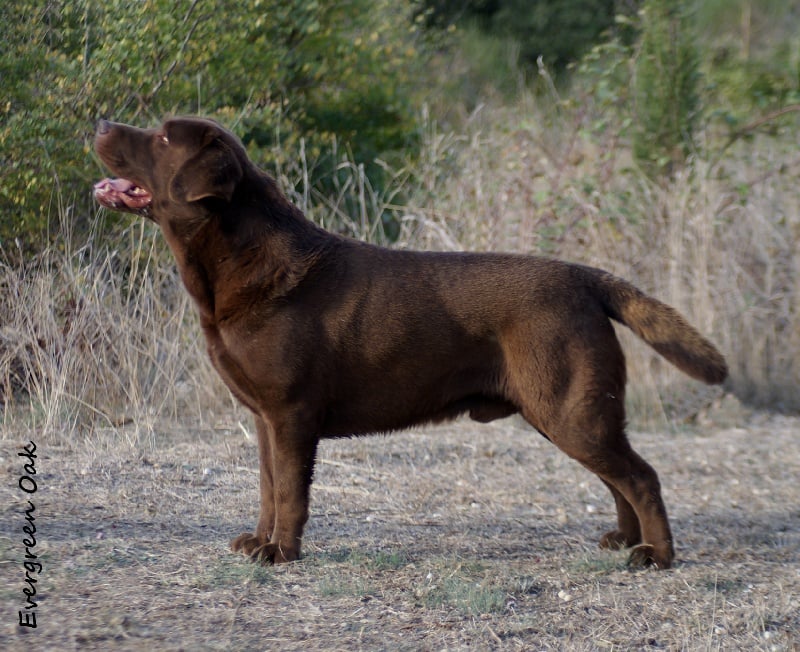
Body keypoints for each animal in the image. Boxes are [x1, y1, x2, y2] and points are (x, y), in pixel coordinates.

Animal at [94, 116, 727, 569]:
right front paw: (258, 541)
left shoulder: (292, 415)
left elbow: (292, 493)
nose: (101, 122)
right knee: (618, 477)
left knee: (641, 476)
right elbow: (269, 488)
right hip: (573, 411)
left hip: (571, 409)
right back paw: (623, 540)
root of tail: (586, 278)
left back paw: (657, 556)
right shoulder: (264, 418)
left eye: (161, 137)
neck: (236, 259)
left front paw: (282, 553)